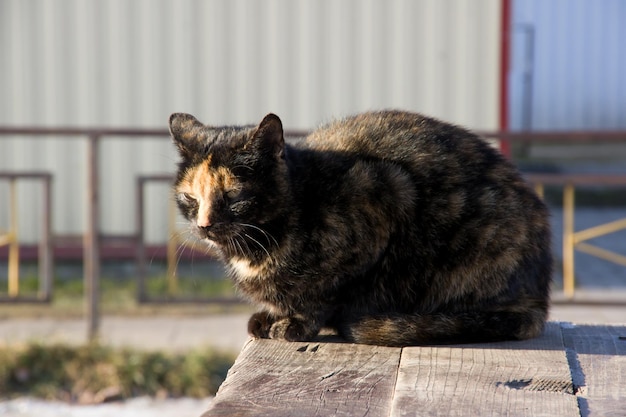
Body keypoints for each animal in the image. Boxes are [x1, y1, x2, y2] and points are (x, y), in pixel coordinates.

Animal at [167, 109, 552, 344]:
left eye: (232, 195)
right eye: (190, 197)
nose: (204, 224)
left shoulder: (383, 193)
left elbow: (323, 294)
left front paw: (295, 324)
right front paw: (273, 316)